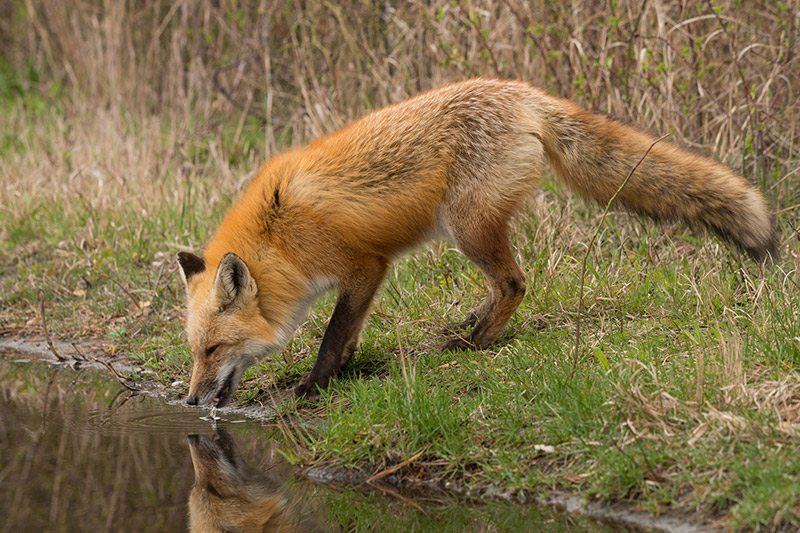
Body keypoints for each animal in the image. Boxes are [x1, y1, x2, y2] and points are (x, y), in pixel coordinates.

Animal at [178, 77, 780, 406]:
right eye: (194, 351)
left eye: (213, 350)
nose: (189, 398)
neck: (276, 236)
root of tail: (521, 91)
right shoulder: (361, 276)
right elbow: (346, 335)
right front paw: (342, 371)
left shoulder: (365, 266)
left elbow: (331, 336)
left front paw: (313, 386)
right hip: (467, 227)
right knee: (501, 284)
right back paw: (470, 323)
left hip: (465, 225)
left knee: (514, 282)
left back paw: (474, 343)